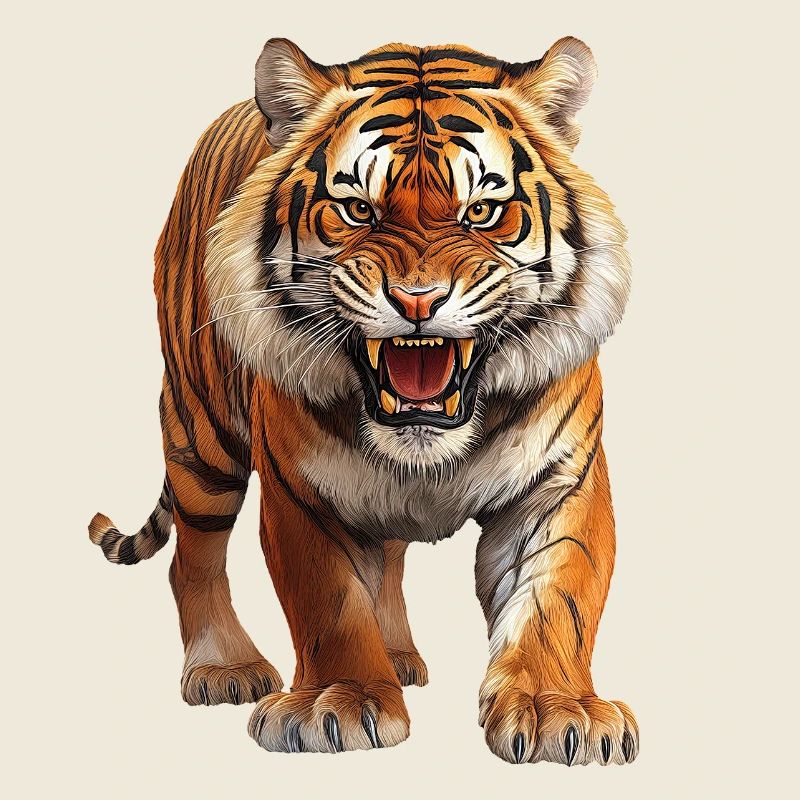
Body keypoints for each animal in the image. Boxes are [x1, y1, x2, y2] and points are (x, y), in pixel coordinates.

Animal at [89, 36, 637, 764]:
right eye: (357, 211)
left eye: (482, 212)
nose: (418, 301)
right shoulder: (301, 489)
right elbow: (329, 600)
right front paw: (338, 702)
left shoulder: (560, 481)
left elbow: (559, 597)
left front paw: (558, 710)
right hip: (202, 433)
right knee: (193, 554)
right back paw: (224, 667)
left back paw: (399, 656)